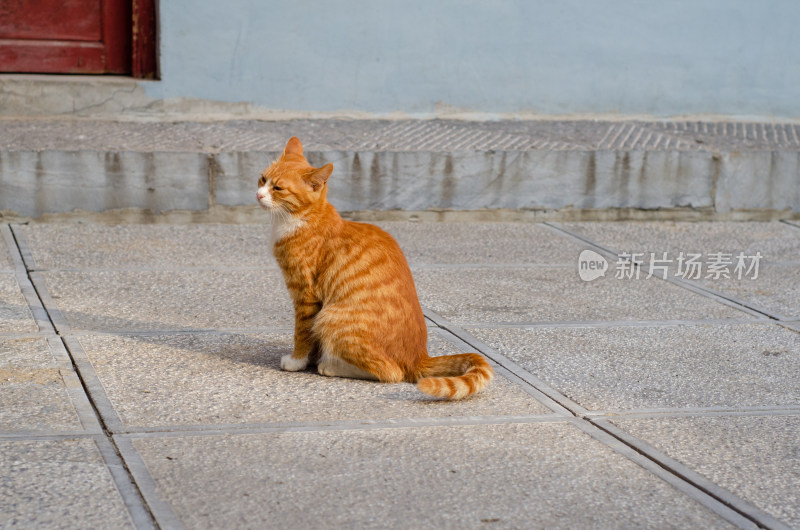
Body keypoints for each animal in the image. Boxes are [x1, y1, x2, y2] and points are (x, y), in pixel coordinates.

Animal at [258, 136, 494, 396]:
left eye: (278, 188)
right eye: (262, 179)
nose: (258, 195)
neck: (302, 218)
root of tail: (419, 357)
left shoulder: (305, 294)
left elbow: (302, 332)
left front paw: (297, 361)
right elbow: (311, 338)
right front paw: (309, 358)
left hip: (332, 317)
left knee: (391, 373)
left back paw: (331, 366)